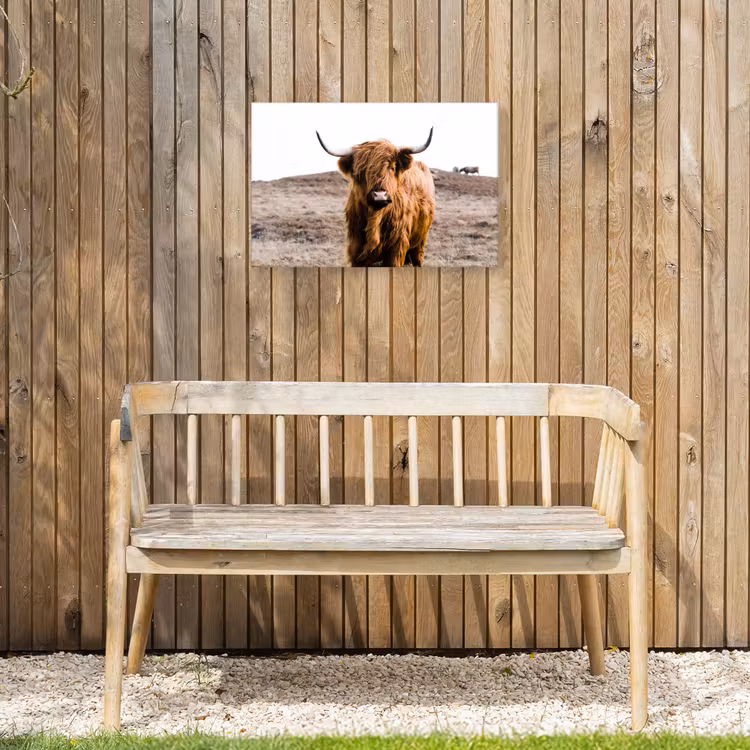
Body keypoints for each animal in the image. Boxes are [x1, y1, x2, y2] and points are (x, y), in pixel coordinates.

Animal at [316, 128, 435, 267]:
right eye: (361, 171)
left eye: (392, 167)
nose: (379, 196)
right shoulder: (355, 247)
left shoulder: (397, 246)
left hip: (421, 240)